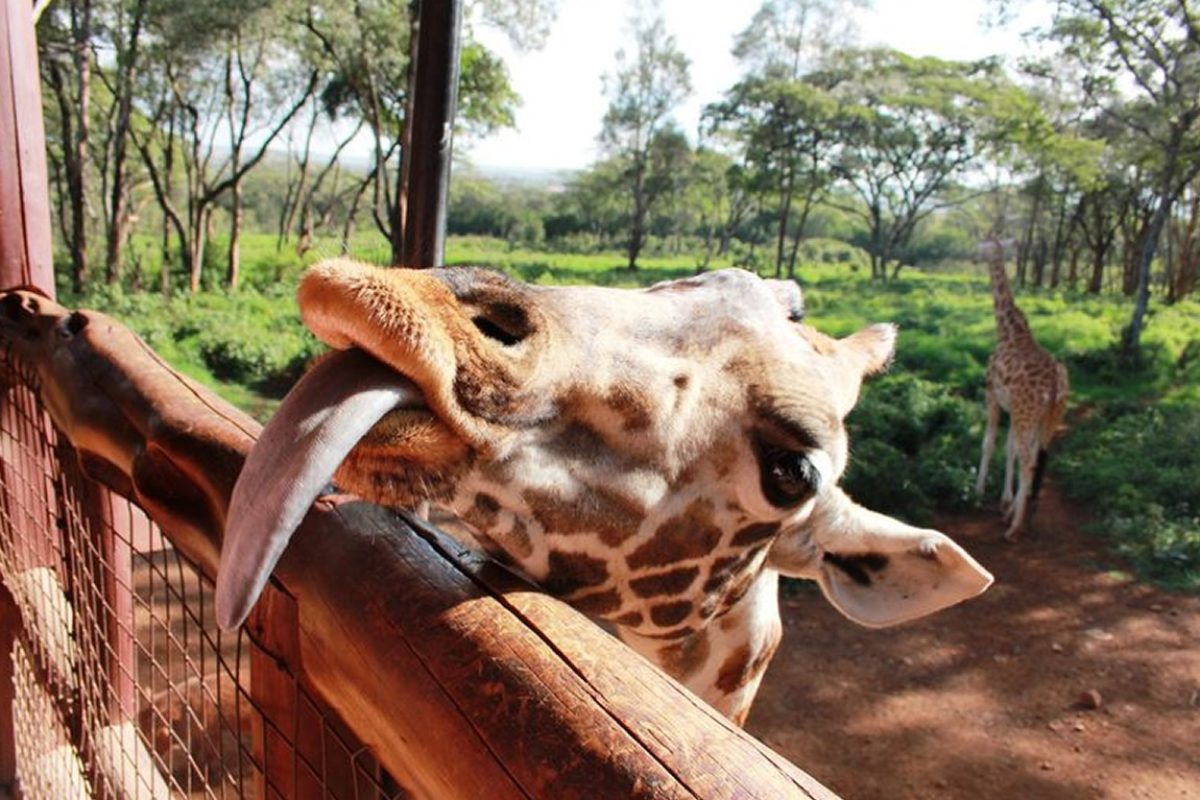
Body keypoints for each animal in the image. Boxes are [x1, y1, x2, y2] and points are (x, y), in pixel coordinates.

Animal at [975, 240, 1070, 541]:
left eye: (985, 245)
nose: (974, 257)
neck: (1008, 330)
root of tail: (1055, 385)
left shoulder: (992, 395)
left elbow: (990, 442)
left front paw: (978, 492)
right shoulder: (1013, 408)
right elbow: (1011, 448)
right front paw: (1006, 501)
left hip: (1027, 413)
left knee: (1029, 461)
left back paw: (1014, 528)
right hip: (1048, 417)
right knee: (1037, 457)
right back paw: (1026, 516)